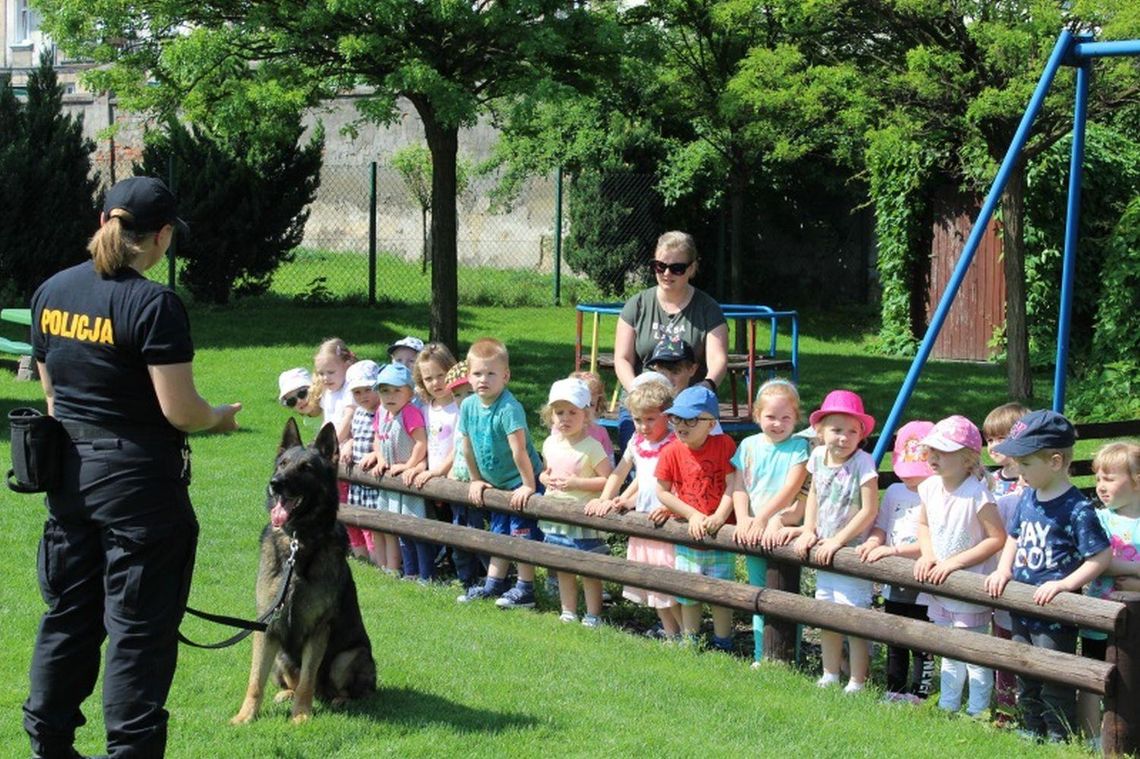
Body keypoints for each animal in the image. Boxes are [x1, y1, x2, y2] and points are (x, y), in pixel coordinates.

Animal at [229, 419, 376, 720]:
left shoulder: (318, 630)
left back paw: (338, 700)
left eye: (306, 468)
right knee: (293, 682)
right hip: (282, 656)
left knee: (342, 689)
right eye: (282, 464)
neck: (298, 540)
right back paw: (286, 694)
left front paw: (300, 717)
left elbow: (308, 678)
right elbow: (255, 680)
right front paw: (245, 716)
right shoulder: (267, 627)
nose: (275, 484)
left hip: (347, 657)